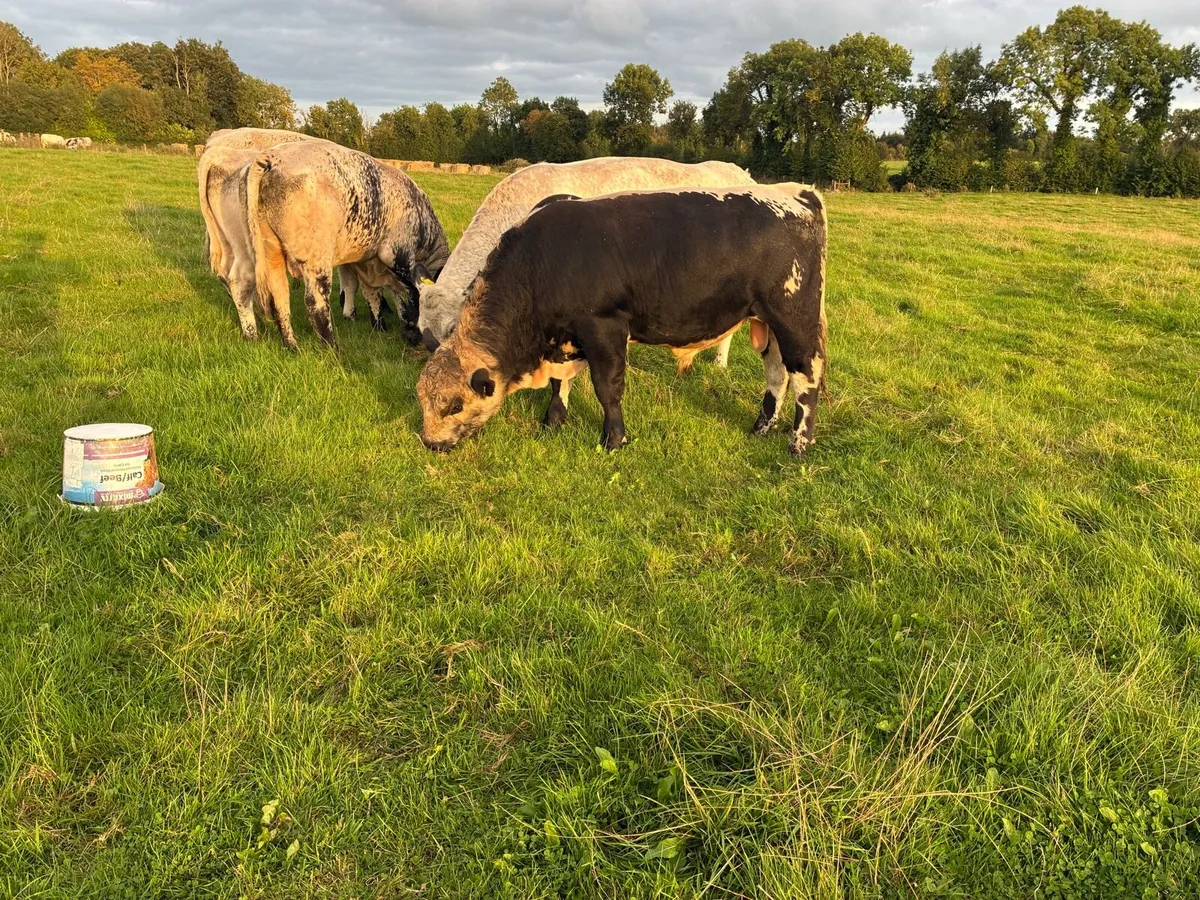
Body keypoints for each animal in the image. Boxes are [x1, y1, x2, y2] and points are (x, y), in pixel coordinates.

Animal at [247, 140, 449, 349]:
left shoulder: (365, 261)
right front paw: (411, 329)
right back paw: (331, 347)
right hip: (316, 255)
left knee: (278, 298)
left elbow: (374, 294)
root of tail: (272, 158)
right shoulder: (396, 253)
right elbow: (410, 292)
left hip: (271, 252)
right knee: (315, 301)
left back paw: (292, 345)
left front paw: (380, 327)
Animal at [416, 183, 827, 456]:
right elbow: (560, 383)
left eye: (454, 405)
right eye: (422, 400)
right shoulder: (565, 338)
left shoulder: (604, 327)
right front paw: (553, 420)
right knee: (777, 372)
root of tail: (797, 192)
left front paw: (614, 438)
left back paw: (799, 442)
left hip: (794, 317)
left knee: (806, 375)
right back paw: (762, 426)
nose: (431, 443)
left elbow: (607, 388)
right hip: (768, 324)